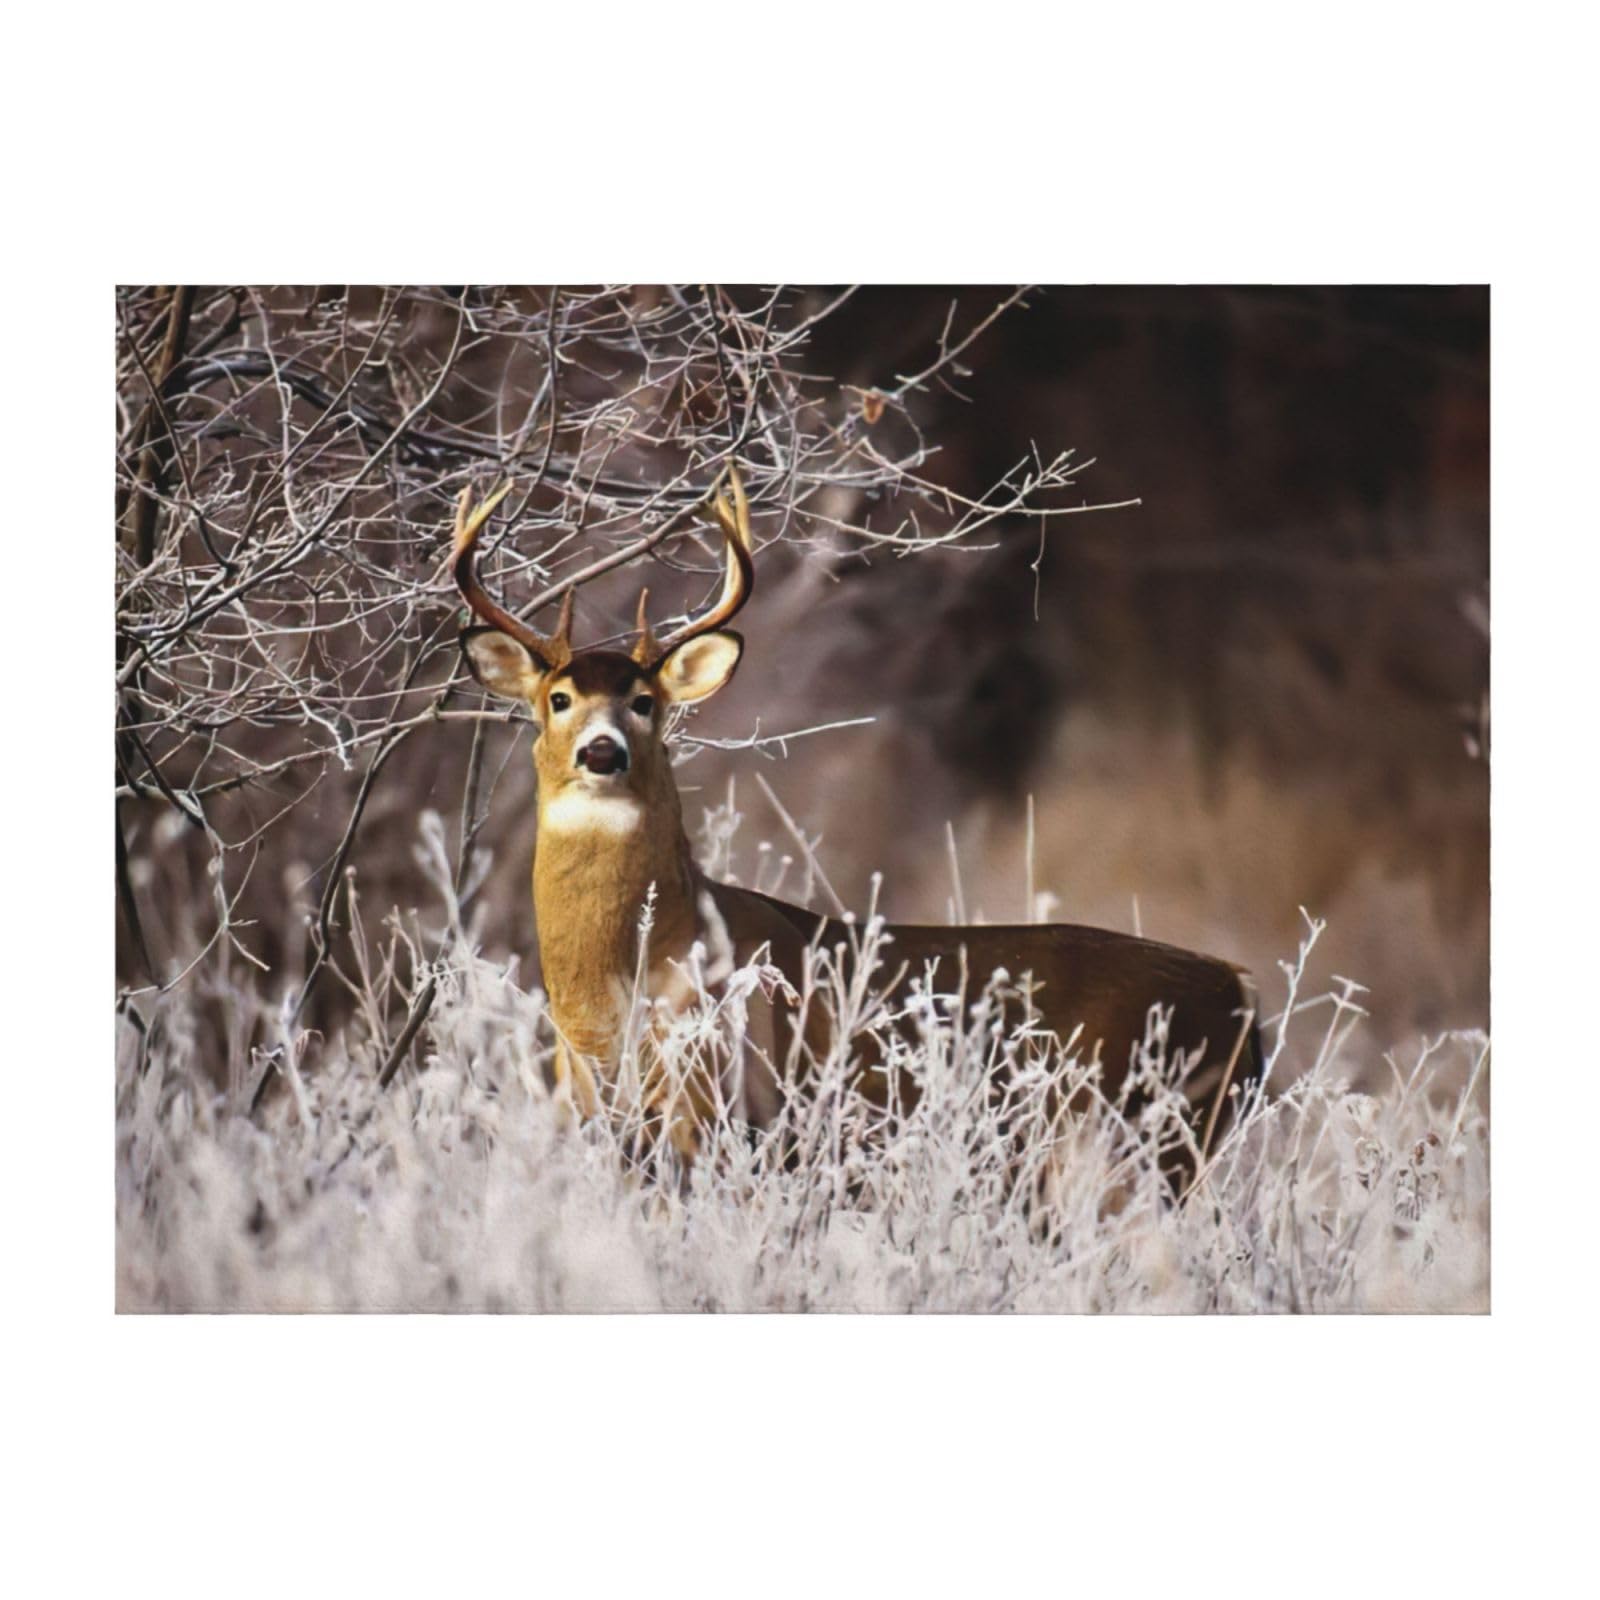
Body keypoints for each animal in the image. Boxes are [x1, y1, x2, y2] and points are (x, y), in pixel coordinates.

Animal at [453, 469, 1262, 1184]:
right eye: (558, 698)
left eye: (645, 701)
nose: (601, 751)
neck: (609, 992)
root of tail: (1241, 993)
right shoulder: (596, 1110)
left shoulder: (721, 1107)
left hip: (1141, 1134)